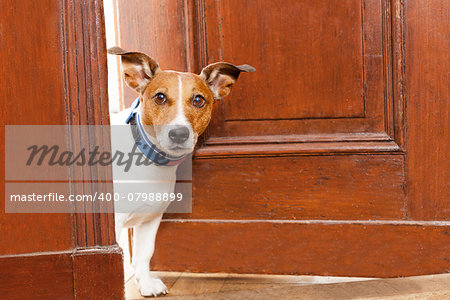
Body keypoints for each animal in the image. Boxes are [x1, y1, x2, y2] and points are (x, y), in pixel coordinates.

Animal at [107, 47, 253, 298]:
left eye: (198, 100)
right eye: (160, 97)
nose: (178, 134)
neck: (148, 159)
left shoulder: (150, 218)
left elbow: (144, 254)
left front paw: (146, 284)